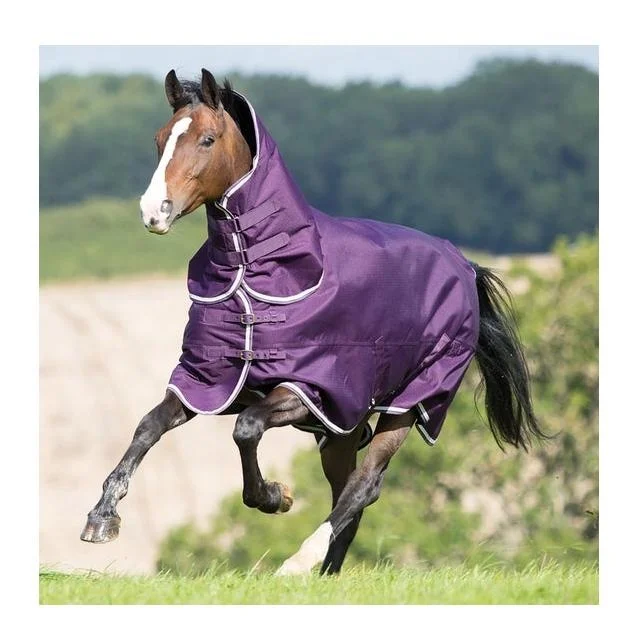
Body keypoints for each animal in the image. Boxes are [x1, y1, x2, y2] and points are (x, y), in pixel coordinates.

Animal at [81, 68, 546, 575]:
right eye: (160, 139)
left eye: (206, 139)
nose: (154, 211)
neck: (261, 270)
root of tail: (464, 266)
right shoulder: (211, 381)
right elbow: (148, 426)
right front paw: (102, 517)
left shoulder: (310, 391)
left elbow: (246, 429)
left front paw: (274, 496)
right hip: (343, 432)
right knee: (349, 494)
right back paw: (326, 572)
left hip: (411, 404)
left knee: (364, 485)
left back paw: (301, 562)